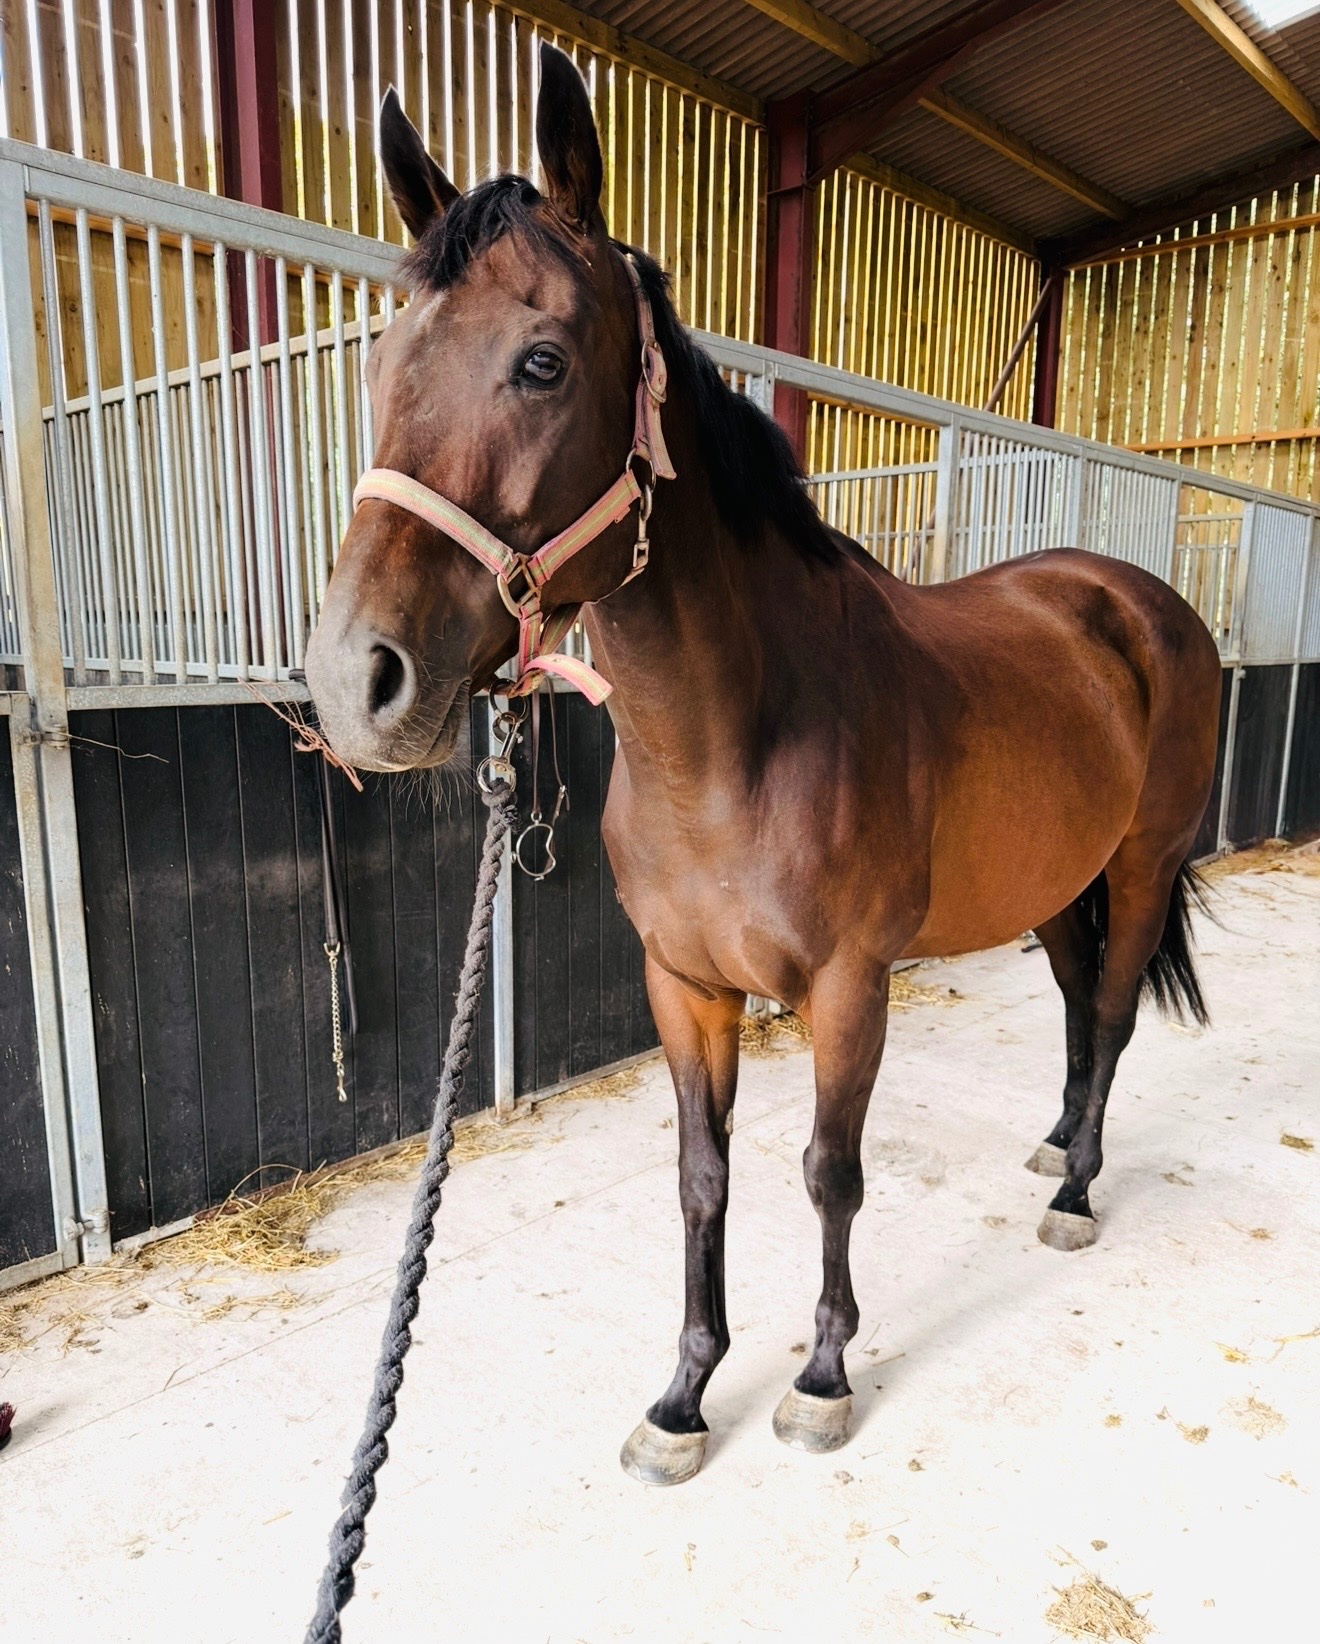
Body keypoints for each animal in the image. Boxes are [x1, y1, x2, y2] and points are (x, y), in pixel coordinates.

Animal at [304, 44, 1222, 1487]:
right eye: (384, 360)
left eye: (542, 361)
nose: (358, 682)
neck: (734, 747)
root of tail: (1136, 601)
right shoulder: (683, 987)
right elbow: (704, 1178)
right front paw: (685, 1396)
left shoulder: (849, 989)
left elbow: (828, 1171)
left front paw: (824, 1375)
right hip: (1055, 884)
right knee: (1083, 1011)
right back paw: (1054, 1146)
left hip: (1137, 865)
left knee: (1119, 1013)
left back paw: (1078, 1190)